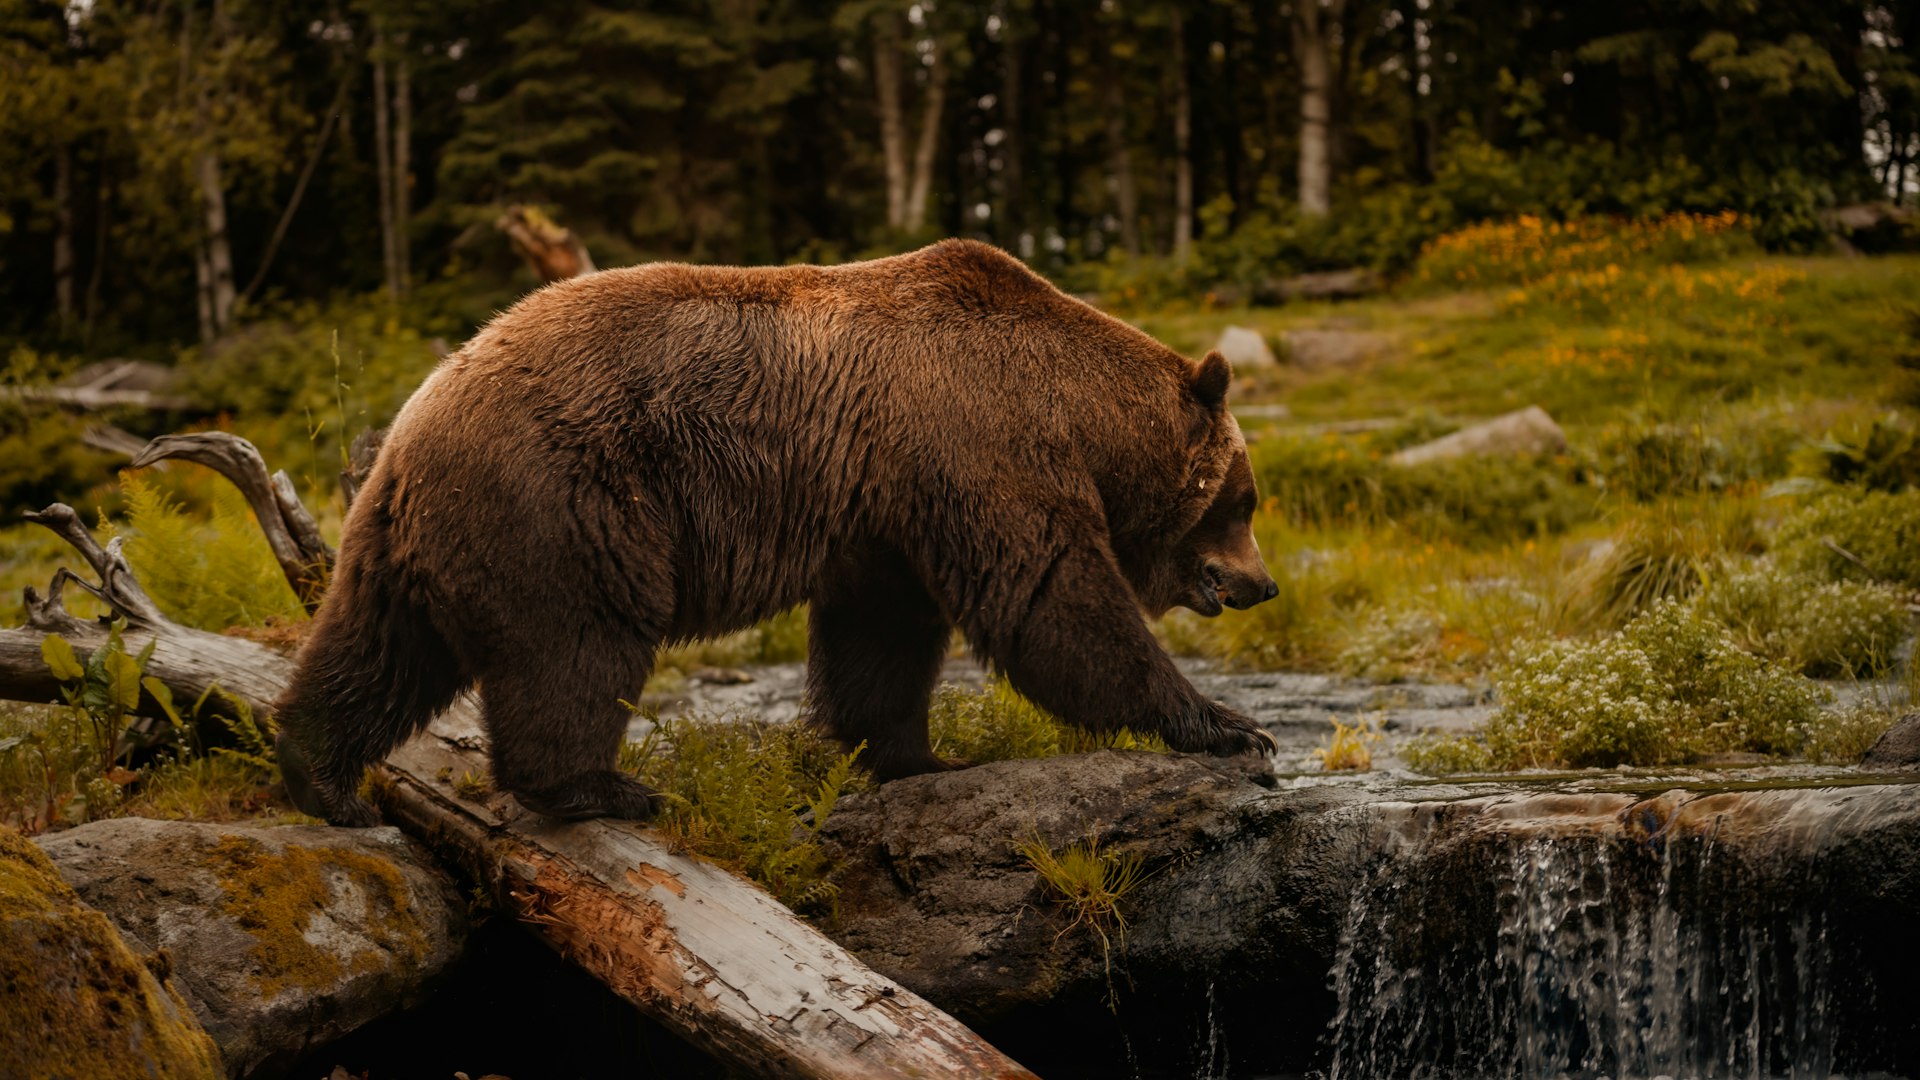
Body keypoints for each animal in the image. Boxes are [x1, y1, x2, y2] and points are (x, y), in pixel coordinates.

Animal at [274, 239, 1280, 827]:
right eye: (1245, 498)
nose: (1263, 584)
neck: (1079, 414)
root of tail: (417, 417)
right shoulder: (979, 446)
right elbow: (1055, 604)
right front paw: (1230, 726)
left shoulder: (890, 509)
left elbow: (883, 640)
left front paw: (914, 755)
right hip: (567, 503)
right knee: (576, 647)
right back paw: (605, 789)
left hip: (413, 536)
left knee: (375, 650)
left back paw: (321, 779)